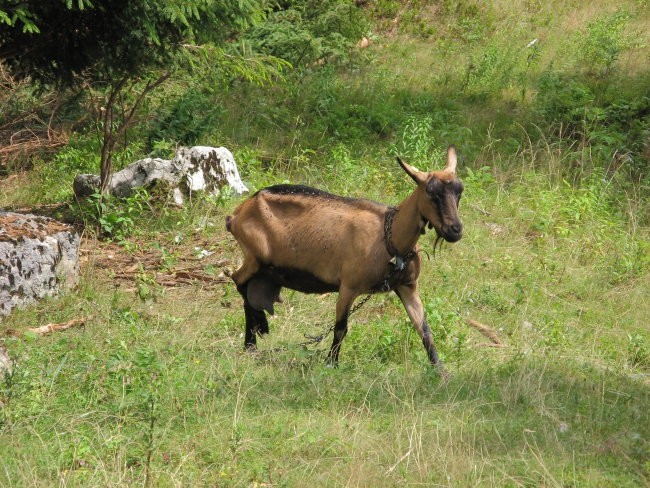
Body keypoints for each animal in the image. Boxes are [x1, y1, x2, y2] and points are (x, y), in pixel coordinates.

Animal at [225, 147, 464, 368]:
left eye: (460, 192)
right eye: (431, 193)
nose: (455, 230)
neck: (390, 237)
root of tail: (237, 214)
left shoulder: (408, 286)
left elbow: (424, 328)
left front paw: (440, 371)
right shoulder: (348, 286)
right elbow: (341, 328)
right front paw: (331, 364)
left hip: (266, 270)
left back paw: (253, 340)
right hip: (255, 256)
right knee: (238, 280)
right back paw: (253, 338)